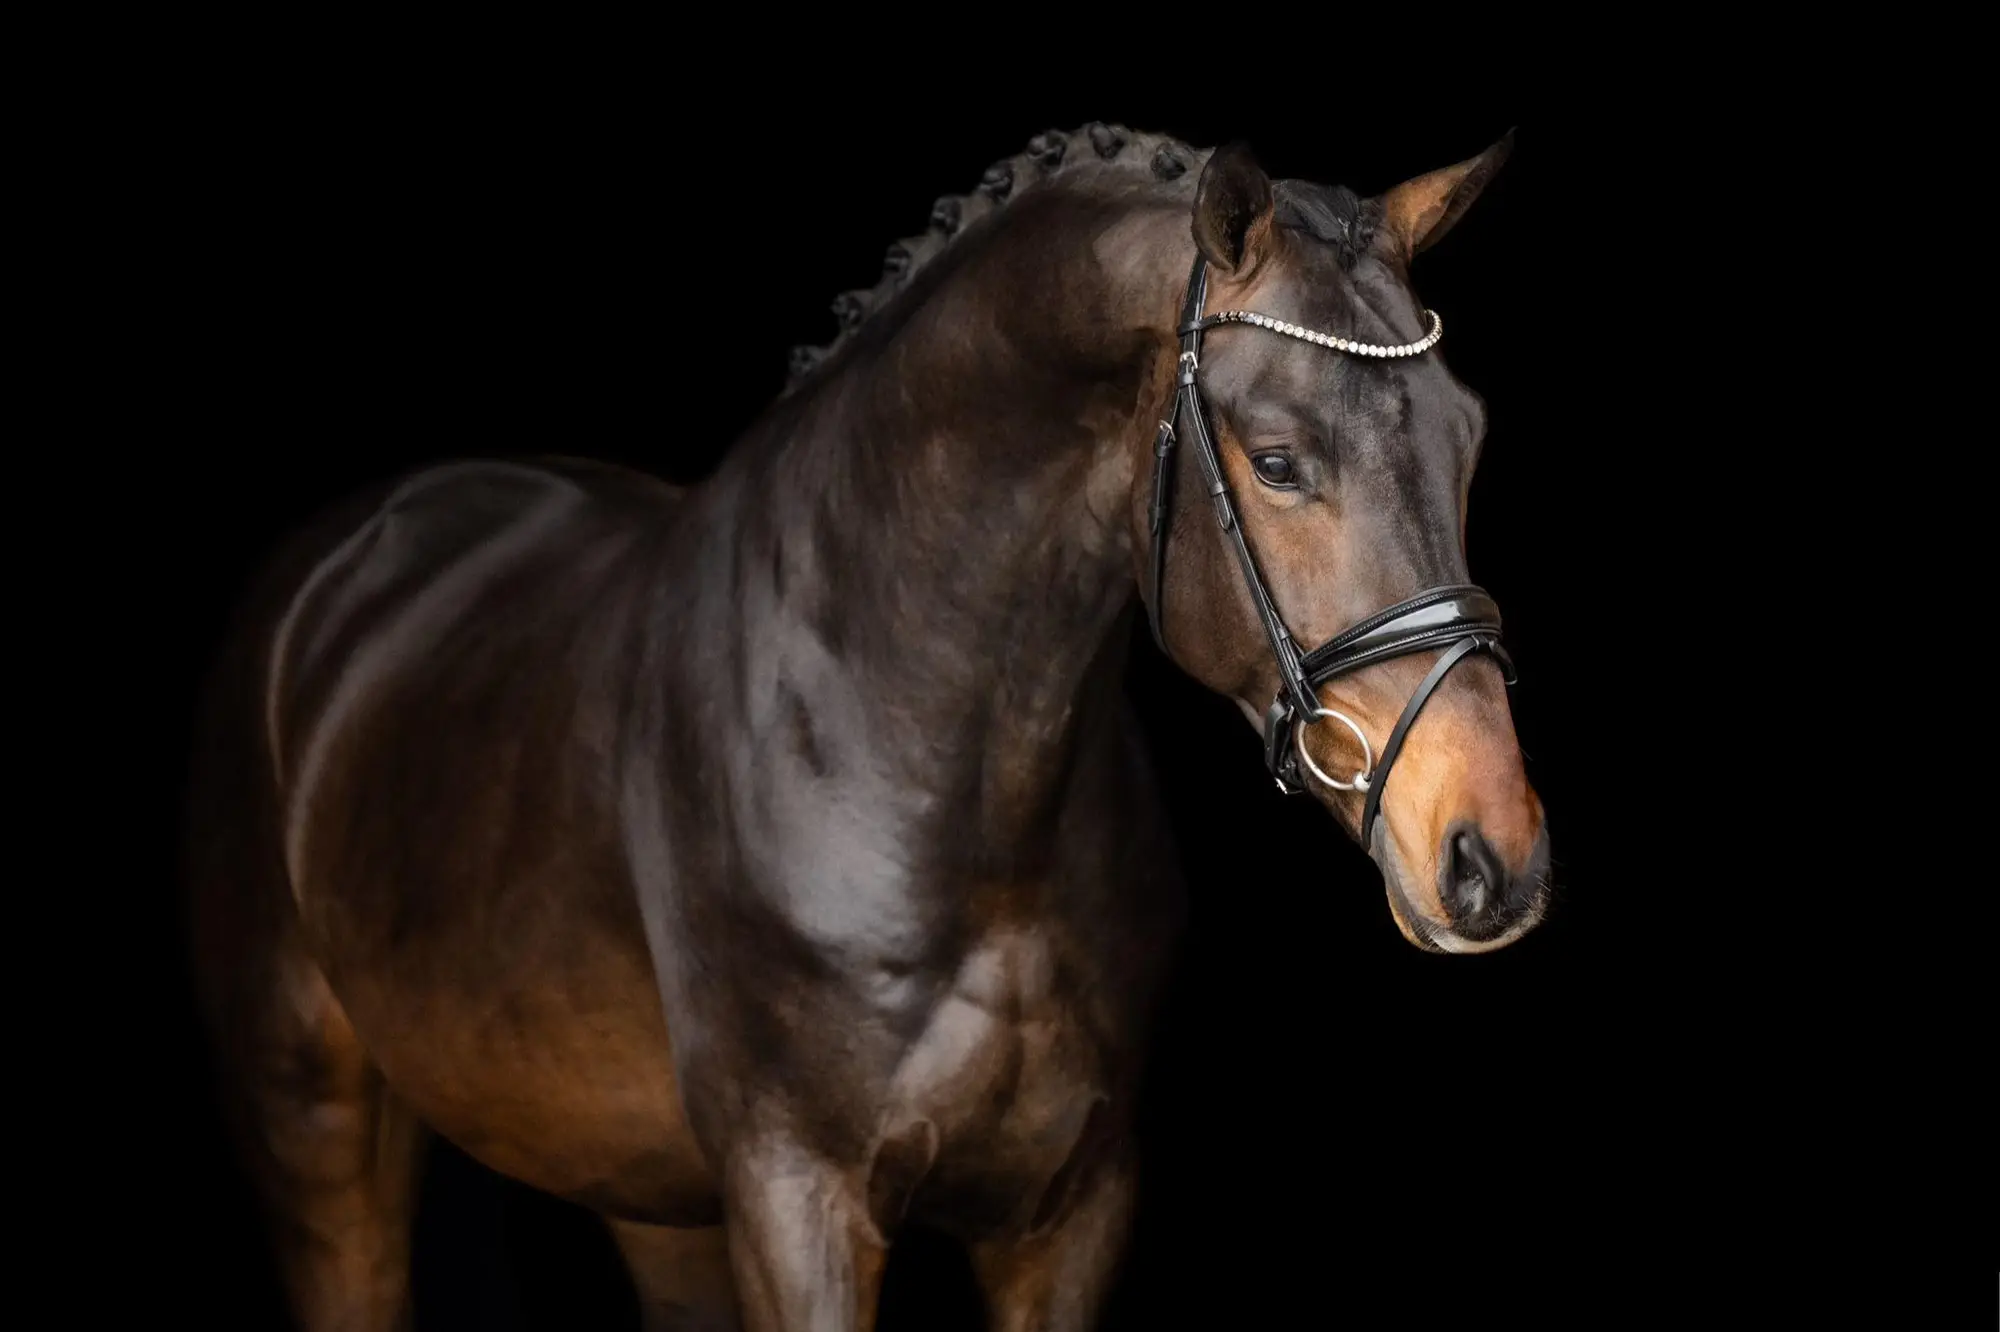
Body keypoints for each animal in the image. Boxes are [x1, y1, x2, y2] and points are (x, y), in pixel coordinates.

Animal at [186, 122, 1550, 1331]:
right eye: (1273, 460)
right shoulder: (800, 1201)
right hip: (315, 1128)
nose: (1492, 857)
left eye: (1470, 438)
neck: (900, 748)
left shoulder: (1067, 1210)